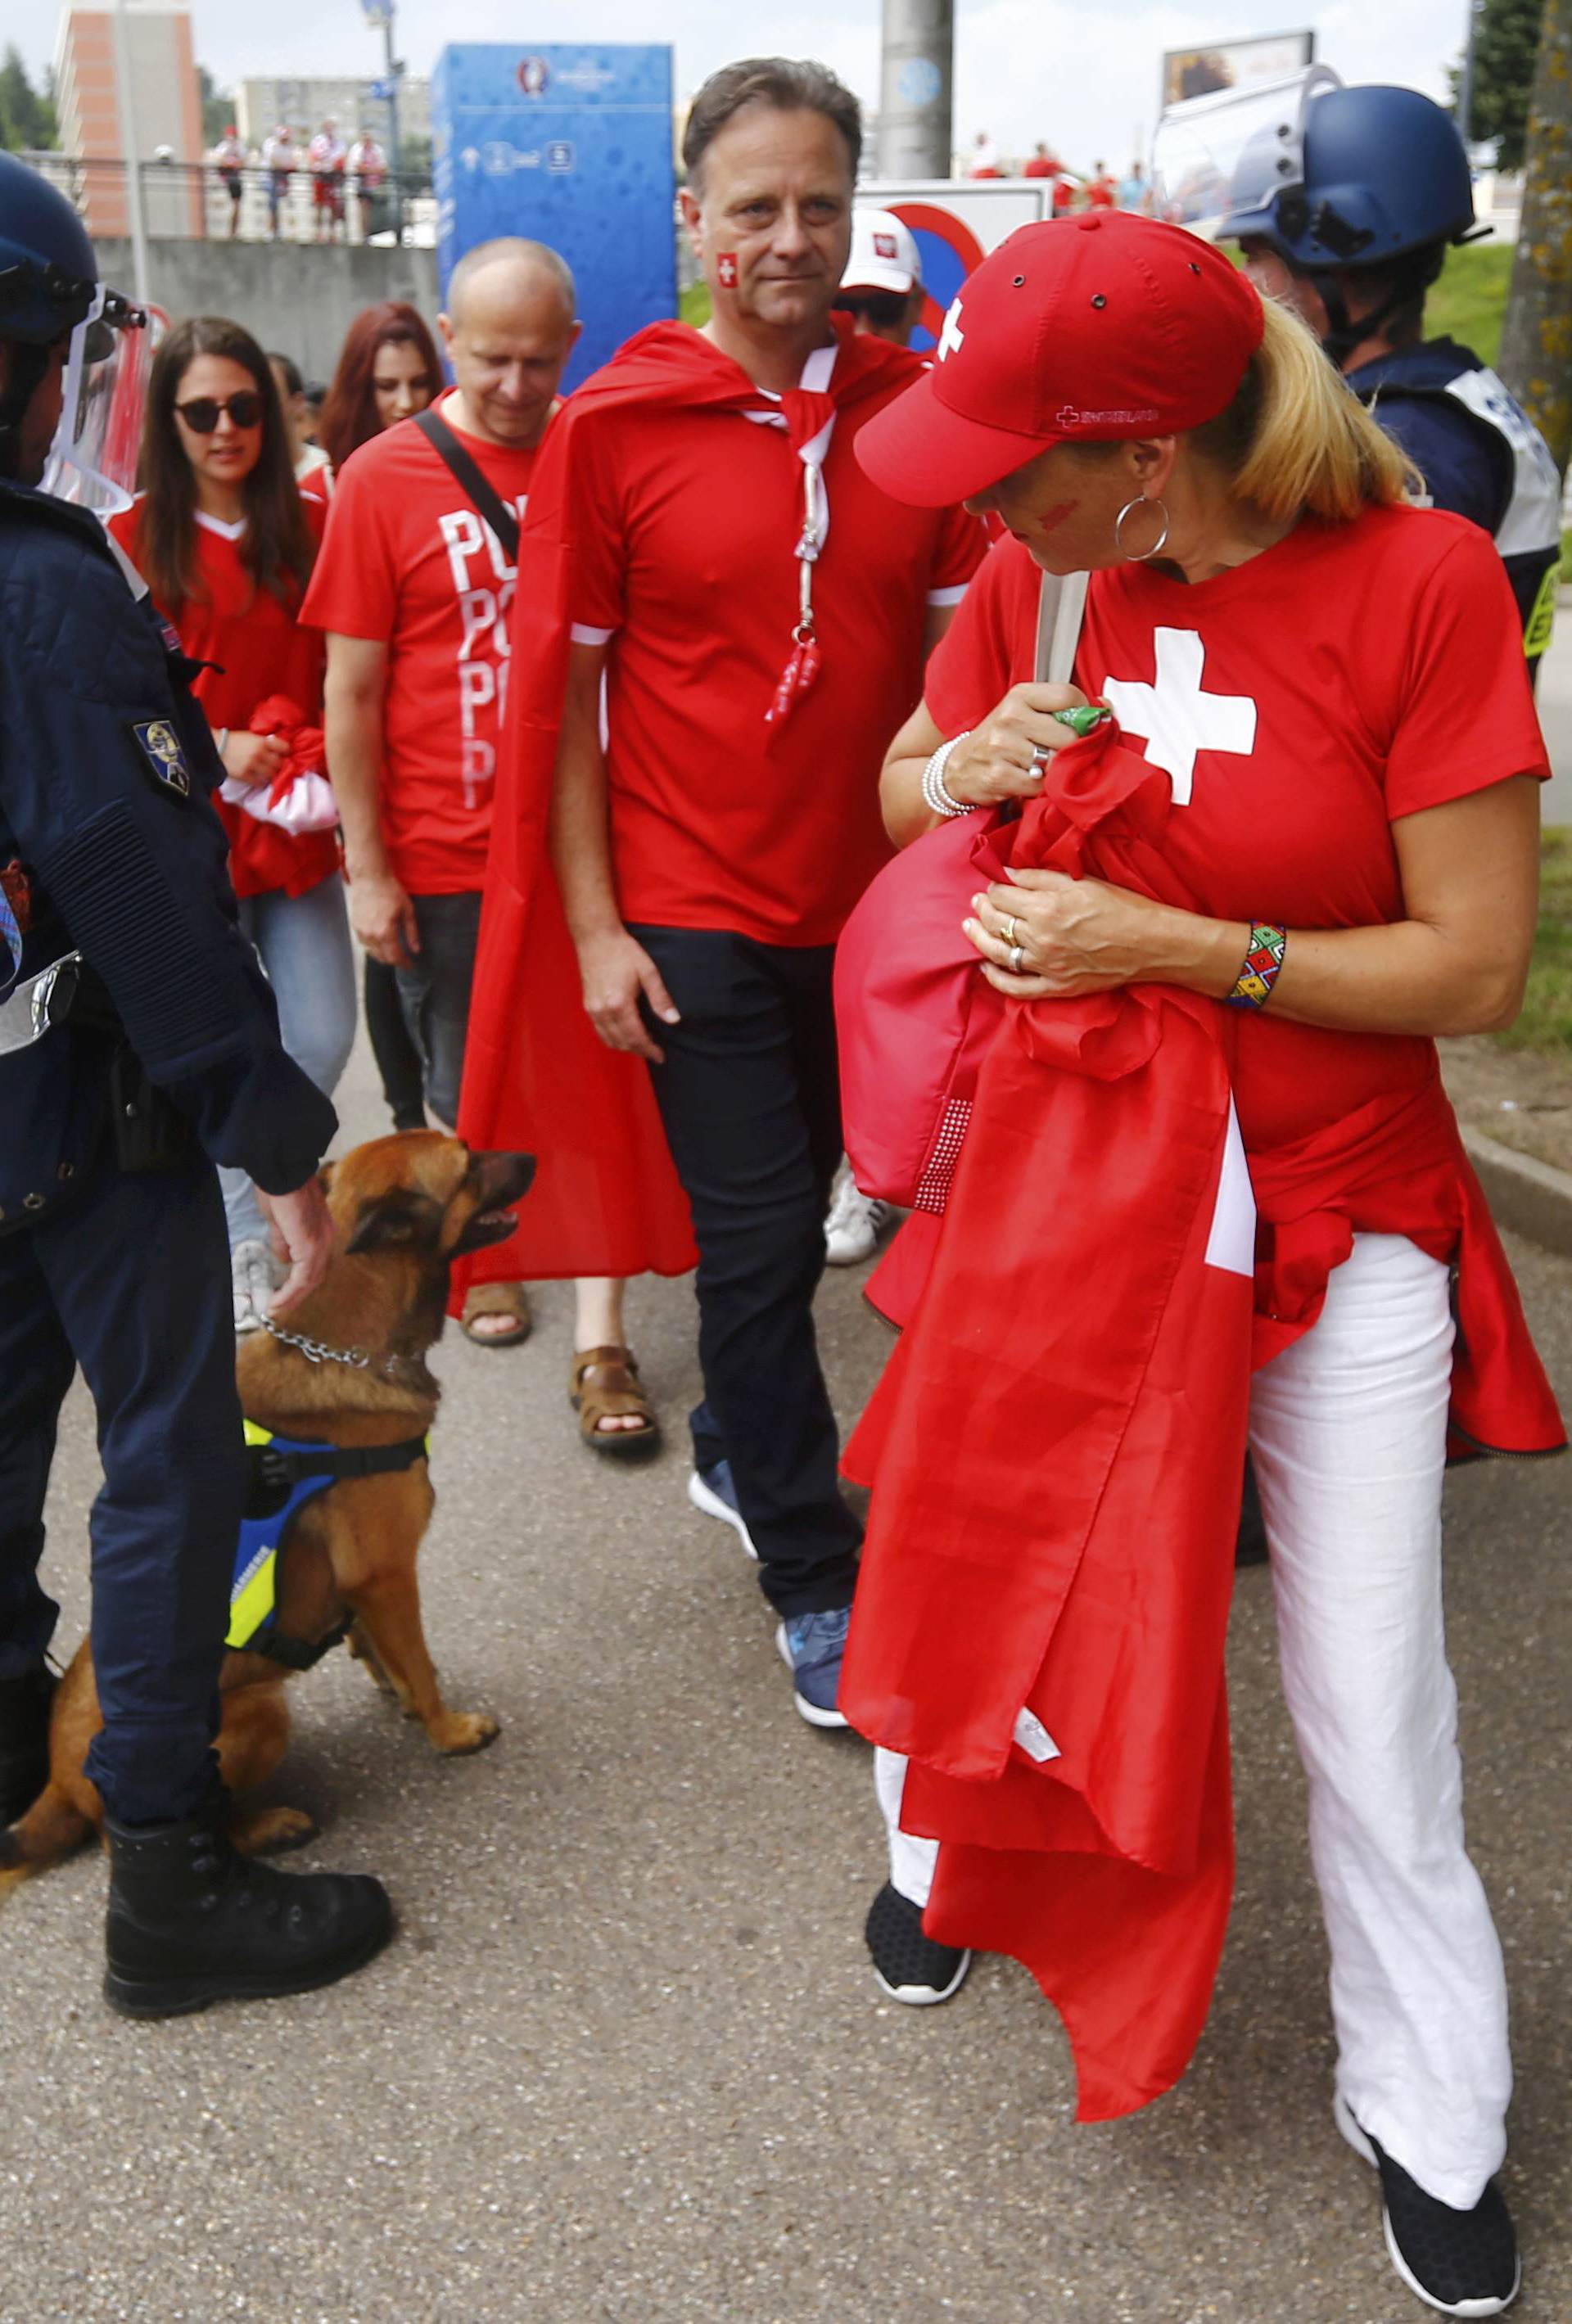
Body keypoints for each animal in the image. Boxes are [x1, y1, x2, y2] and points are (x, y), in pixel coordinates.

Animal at [0, 1129, 535, 1887]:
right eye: (467, 1165)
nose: (536, 1158)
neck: (344, 1342)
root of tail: (60, 1784)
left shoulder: (364, 1591)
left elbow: (384, 1652)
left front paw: (400, 1694)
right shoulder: (387, 1575)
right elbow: (422, 1663)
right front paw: (449, 1729)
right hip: (261, 1714)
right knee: (144, 1838)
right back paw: (267, 1826)